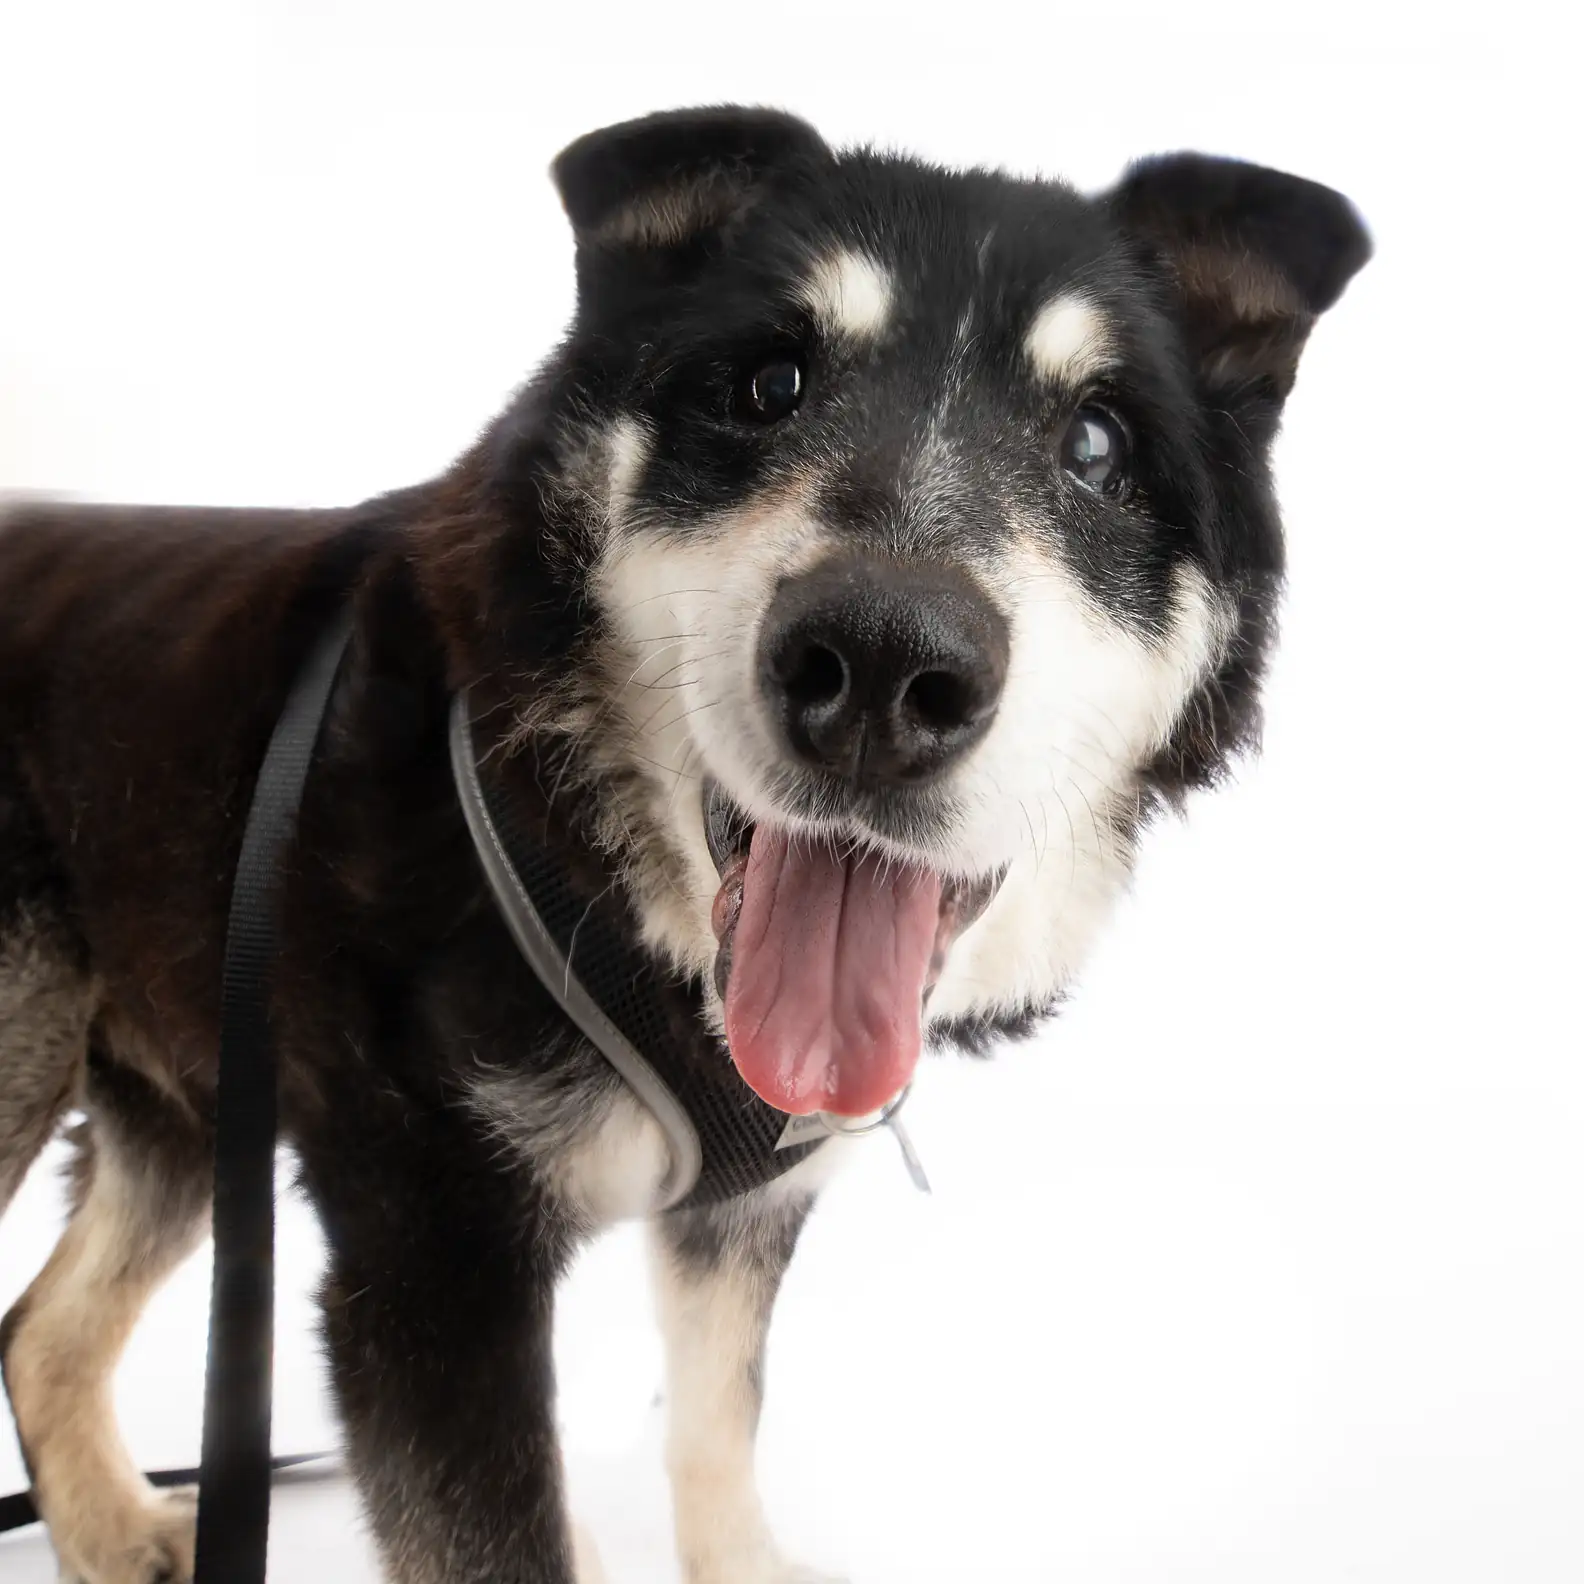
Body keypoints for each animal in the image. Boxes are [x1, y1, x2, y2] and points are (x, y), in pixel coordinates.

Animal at [0, 108, 1362, 1584]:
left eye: (1099, 446)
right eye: (768, 384)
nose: (882, 668)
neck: (617, 898)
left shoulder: (739, 1218)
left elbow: (716, 1424)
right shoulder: (433, 1264)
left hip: (190, 1093)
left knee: (41, 1325)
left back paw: (113, 1528)